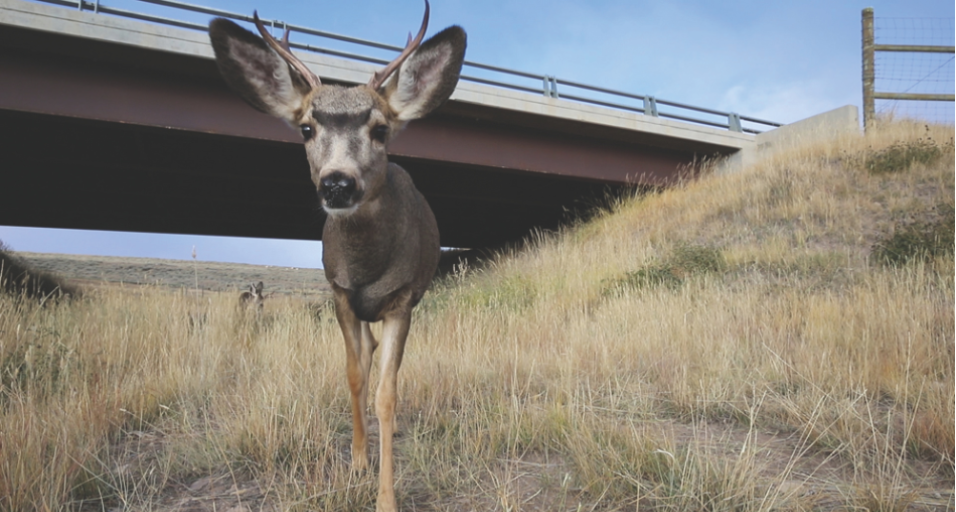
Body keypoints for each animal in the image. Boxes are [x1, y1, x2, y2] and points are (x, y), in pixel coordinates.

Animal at [208, 3, 465, 510]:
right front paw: (358, 462)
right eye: (307, 127)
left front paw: (386, 496)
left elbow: (387, 394)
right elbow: (353, 376)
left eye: (381, 129)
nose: (337, 184)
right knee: (364, 356)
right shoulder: (340, 294)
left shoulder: (402, 301)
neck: (368, 269)